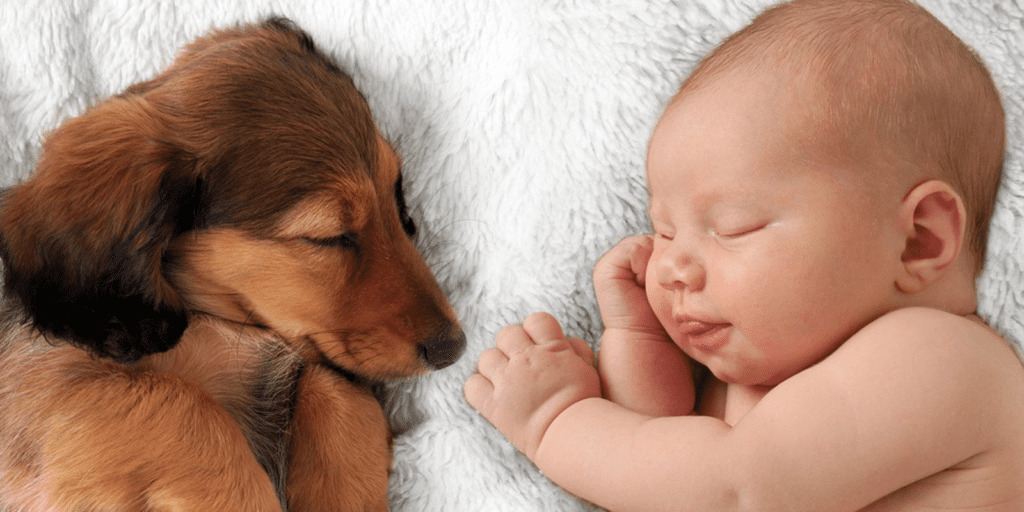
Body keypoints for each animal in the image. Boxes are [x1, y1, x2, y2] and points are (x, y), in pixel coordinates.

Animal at [0, 18, 464, 509]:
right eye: (327, 237)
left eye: (396, 194)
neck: (216, 318)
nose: (453, 348)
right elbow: (182, 404)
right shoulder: (45, 383)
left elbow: (335, 388)